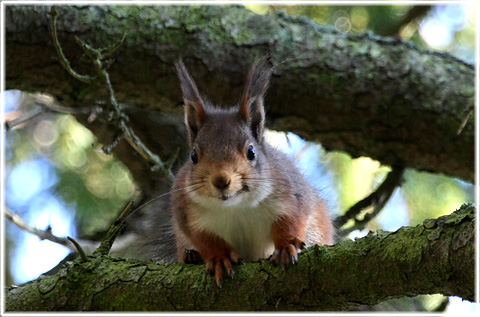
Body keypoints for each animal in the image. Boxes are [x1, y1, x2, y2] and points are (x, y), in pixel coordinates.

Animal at [172, 58, 334, 286]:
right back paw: (191, 256)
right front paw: (219, 258)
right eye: (193, 156)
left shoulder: (290, 191)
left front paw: (286, 245)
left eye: (251, 152)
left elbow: (291, 219)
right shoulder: (186, 213)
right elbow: (205, 240)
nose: (221, 181)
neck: (235, 207)